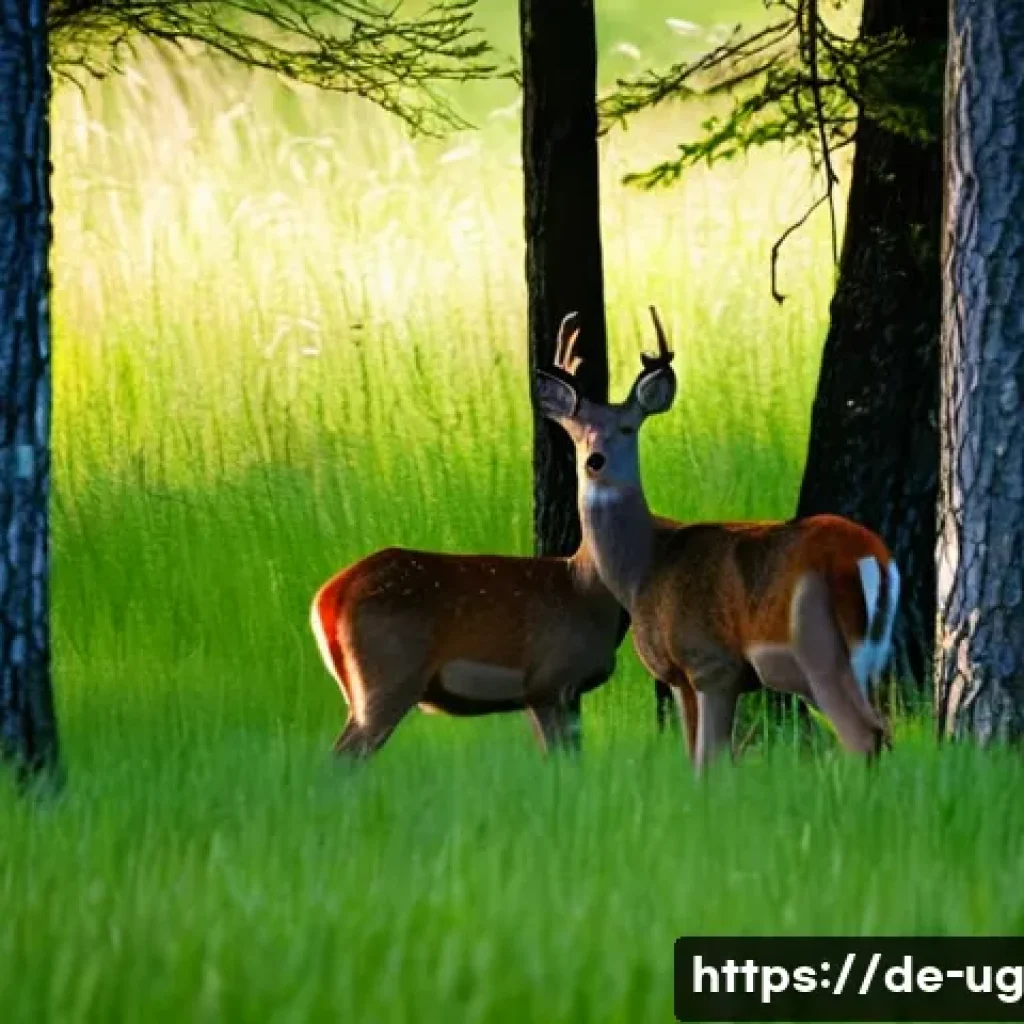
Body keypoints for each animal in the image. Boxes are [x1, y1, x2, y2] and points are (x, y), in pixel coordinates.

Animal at [309, 321, 630, 760]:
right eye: (581, 431)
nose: (597, 460)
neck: (586, 587)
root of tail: (326, 598)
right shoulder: (550, 680)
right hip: (387, 678)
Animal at [534, 308, 901, 771]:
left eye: (627, 427)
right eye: (578, 429)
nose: (594, 461)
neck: (644, 567)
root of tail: (868, 555)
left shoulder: (708, 664)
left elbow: (708, 758)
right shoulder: (688, 677)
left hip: (818, 646)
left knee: (862, 734)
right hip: (871, 657)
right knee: (884, 730)